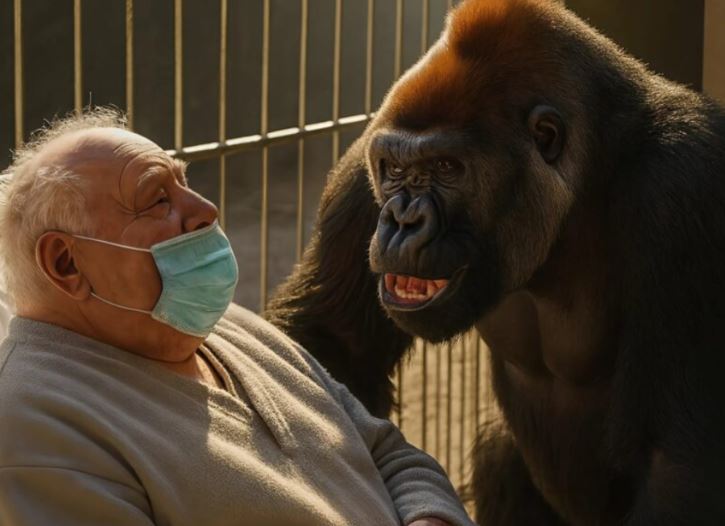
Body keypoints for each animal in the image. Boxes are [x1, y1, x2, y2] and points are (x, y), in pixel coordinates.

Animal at [265, 0, 725, 523]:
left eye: (447, 168)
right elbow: (334, 346)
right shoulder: (369, 150)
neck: (591, 173)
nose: (401, 221)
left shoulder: (685, 187)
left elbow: (673, 464)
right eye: (395, 170)